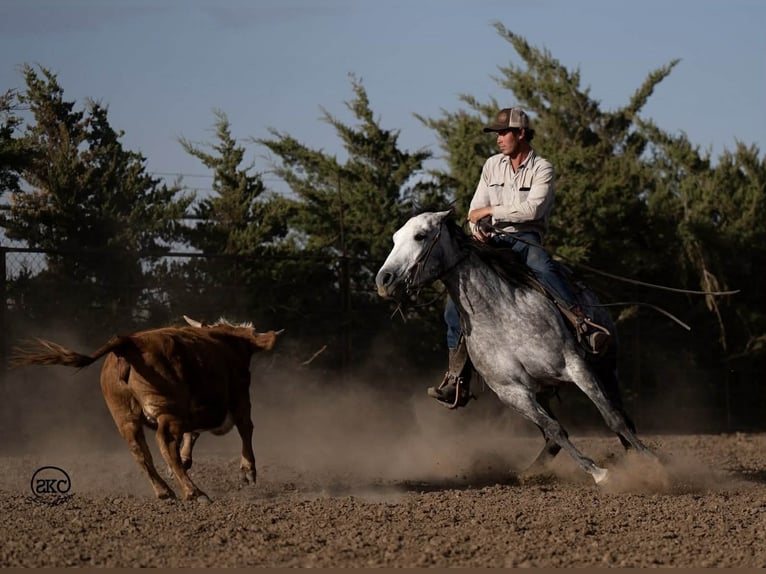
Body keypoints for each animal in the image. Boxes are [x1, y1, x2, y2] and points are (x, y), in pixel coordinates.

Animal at [375, 210, 657, 485]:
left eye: (420, 236)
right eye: (395, 238)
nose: (383, 280)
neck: (499, 315)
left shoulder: (575, 365)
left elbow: (612, 417)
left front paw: (651, 463)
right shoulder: (511, 392)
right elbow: (555, 429)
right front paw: (598, 473)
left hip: (606, 367)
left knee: (621, 413)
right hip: (542, 390)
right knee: (553, 438)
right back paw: (531, 472)